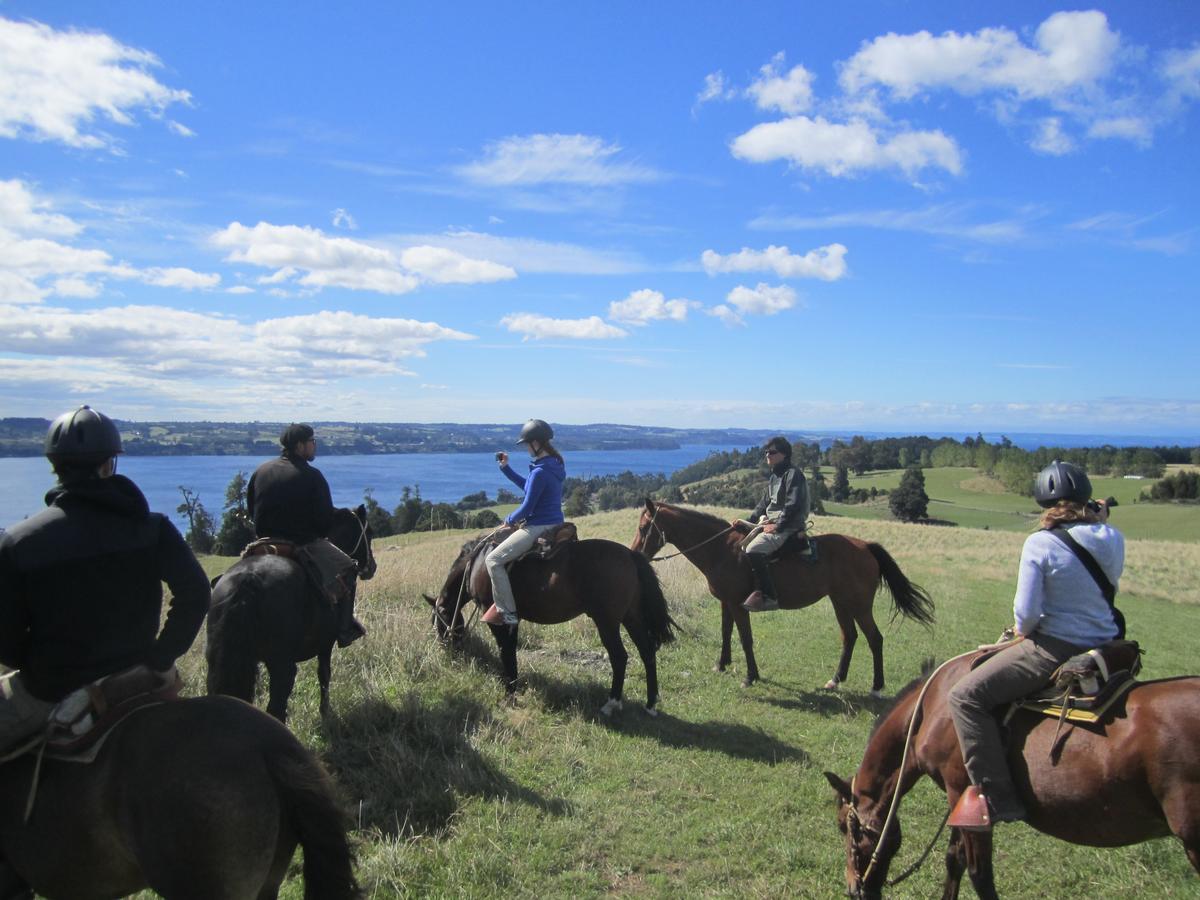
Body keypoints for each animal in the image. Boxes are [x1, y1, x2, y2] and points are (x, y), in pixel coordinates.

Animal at [206, 508, 374, 724]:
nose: (372, 567)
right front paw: (326, 712)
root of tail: (248, 580)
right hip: (281, 664)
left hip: (219, 660)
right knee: (276, 705)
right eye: (368, 533)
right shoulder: (325, 644)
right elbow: (324, 675)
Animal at [427, 535, 681, 720]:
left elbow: (505, 652)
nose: (447, 651)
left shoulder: (495, 618)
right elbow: (511, 652)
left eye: (437, 623)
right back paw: (650, 704)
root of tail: (629, 554)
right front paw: (513, 687)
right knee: (647, 652)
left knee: (619, 657)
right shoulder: (513, 621)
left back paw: (611, 704)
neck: (478, 563)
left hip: (607, 621)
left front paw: (509, 694)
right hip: (632, 617)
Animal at [633, 504, 931, 696]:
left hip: (858, 604)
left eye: (644, 526)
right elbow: (726, 632)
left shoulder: (738, 604)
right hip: (841, 603)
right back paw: (835, 680)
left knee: (874, 638)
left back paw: (877, 687)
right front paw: (722, 664)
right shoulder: (726, 602)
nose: (637, 554)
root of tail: (866, 546)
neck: (722, 550)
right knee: (850, 637)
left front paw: (750, 676)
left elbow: (745, 638)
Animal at [825, 657, 1200, 900]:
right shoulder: (963, 803)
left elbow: (979, 874)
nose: (854, 888)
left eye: (845, 826)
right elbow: (954, 860)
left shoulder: (963, 793)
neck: (932, 710)